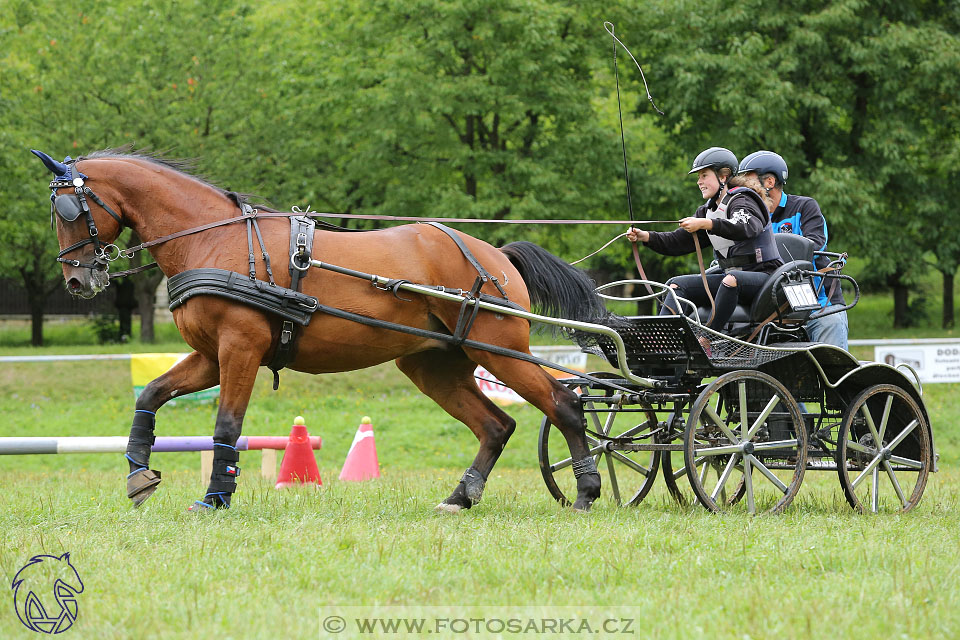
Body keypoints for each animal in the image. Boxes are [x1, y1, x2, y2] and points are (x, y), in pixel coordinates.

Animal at [35, 148, 608, 512]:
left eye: (67, 209)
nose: (77, 279)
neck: (213, 240)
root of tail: (495, 255)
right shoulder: (210, 356)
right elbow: (151, 394)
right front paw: (138, 473)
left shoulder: (240, 348)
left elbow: (227, 425)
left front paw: (216, 497)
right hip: (433, 364)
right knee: (495, 425)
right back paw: (459, 498)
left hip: (501, 349)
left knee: (563, 404)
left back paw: (585, 491)